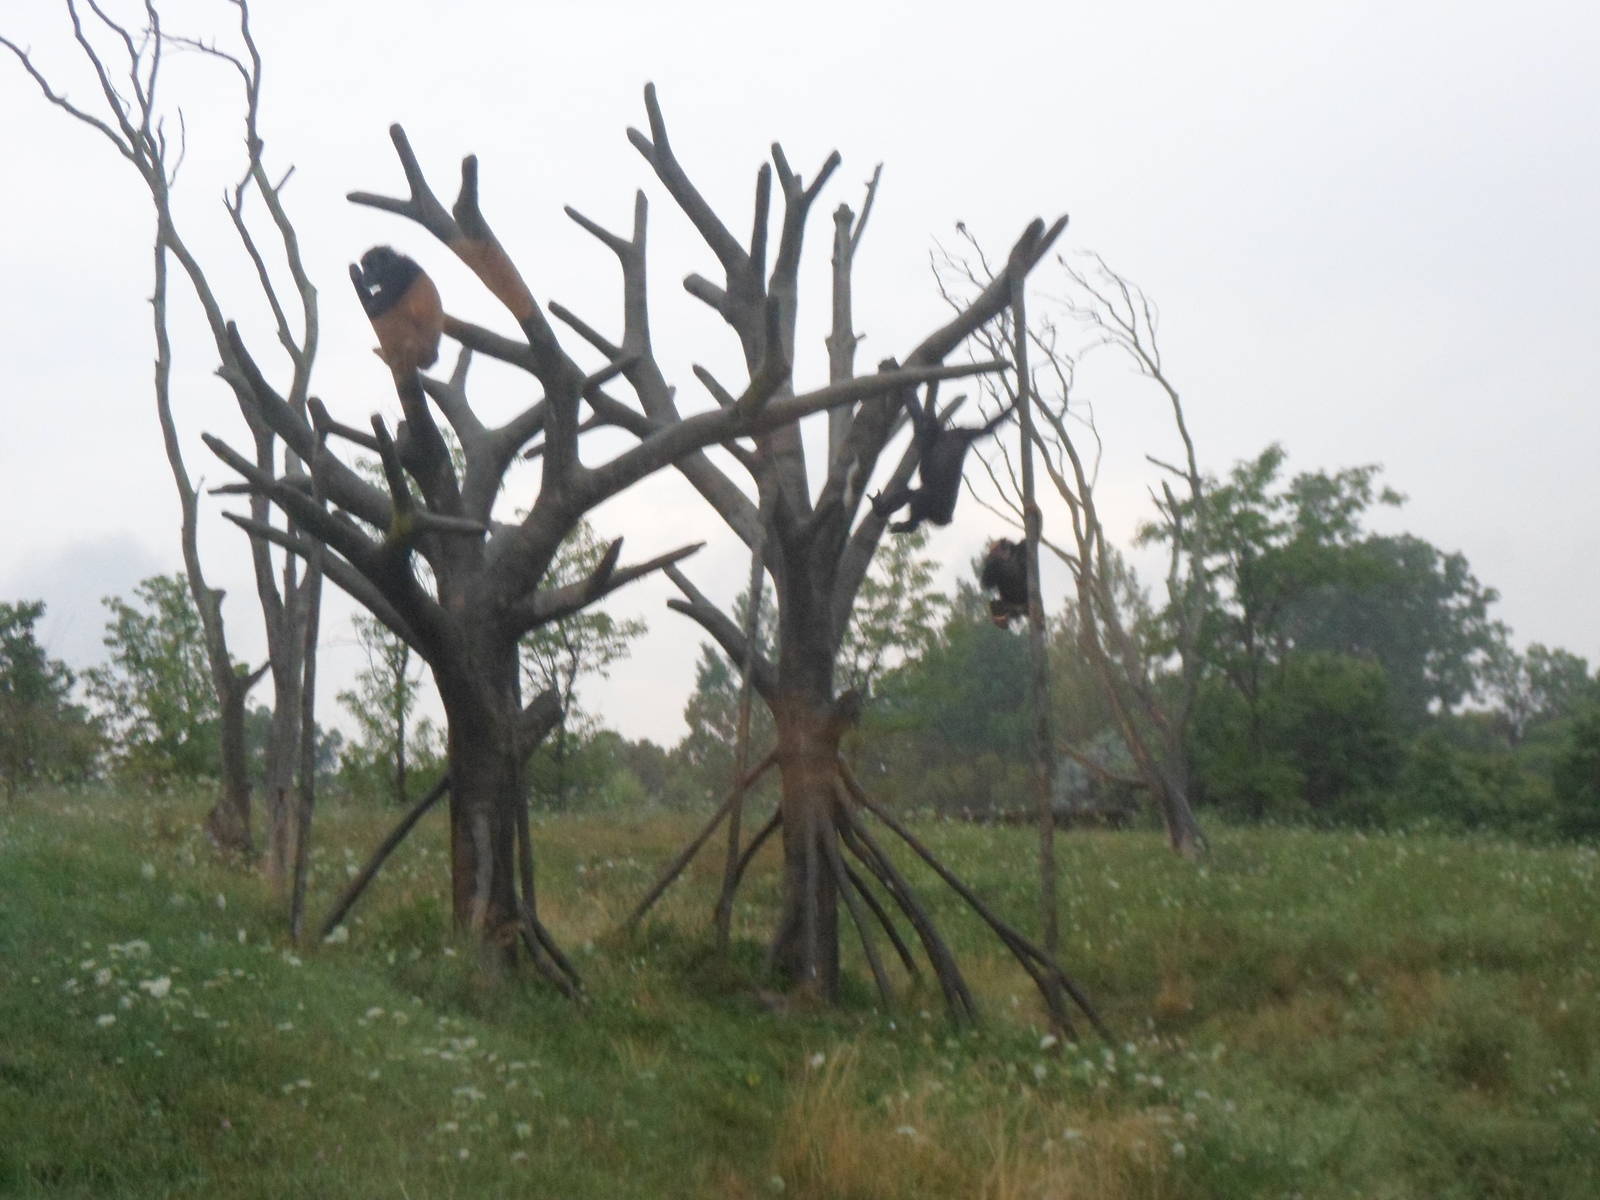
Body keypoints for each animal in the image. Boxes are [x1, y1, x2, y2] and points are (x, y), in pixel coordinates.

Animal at [349, 246, 444, 378]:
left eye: (370, 266)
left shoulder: (396, 274)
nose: (365, 274)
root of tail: (431, 357)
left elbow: (373, 308)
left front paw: (354, 273)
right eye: (364, 266)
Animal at [871, 391, 1016, 534]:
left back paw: (908, 524)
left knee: (919, 496)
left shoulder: (950, 433)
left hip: (937, 509)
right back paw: (883, 511)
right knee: (912, 494)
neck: (942, 436)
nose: (926, 428)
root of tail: (947, 520)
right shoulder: (962, 432)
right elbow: (987, 429)